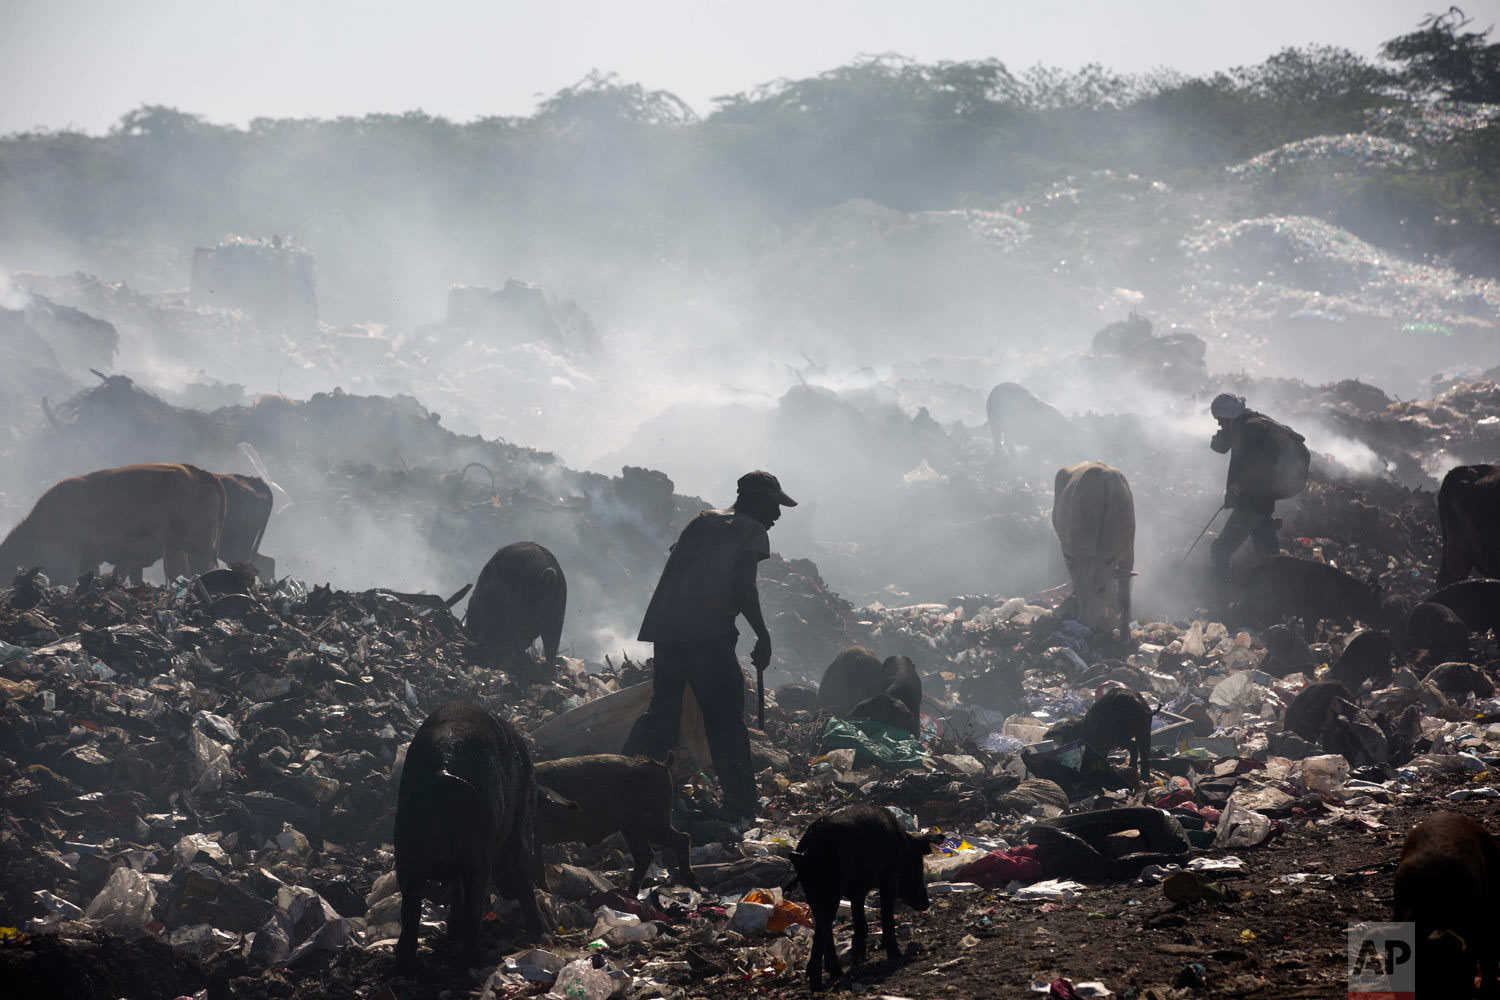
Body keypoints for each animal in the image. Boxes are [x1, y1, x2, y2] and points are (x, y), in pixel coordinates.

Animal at [786, 803, 936, 995]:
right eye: (919, 864)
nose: (926, 903)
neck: (905, 844)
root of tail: (804, 851)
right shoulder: (889, 877)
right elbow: (886, 914)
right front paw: (895, 954)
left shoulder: (858, 890)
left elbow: (860, 921)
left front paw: (859, 957)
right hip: (829, 890)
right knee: (822, 930)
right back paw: (819, 985)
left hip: (810, 892)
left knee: (824, 928)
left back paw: (837, 974)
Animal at [1050, 458, 1128, 632]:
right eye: (1082, 588)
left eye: (1102, 589)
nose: (1085, 623)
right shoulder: (1073, 556)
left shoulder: (1128, 552)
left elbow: (1124, 596)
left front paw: (1125, 634)